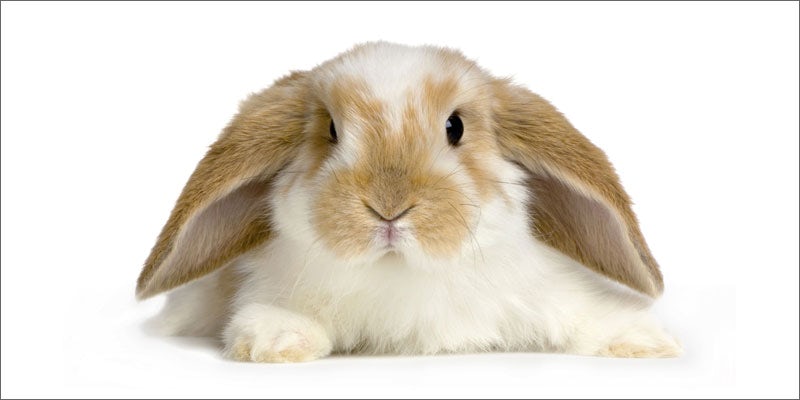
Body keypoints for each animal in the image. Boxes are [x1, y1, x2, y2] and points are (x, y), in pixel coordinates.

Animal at [137, 42, 682, 363]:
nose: (389, 207)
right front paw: (276, 340)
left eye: (455, 127)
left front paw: (646, 341)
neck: (402, 271)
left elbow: (584, 315)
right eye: (331, 130)